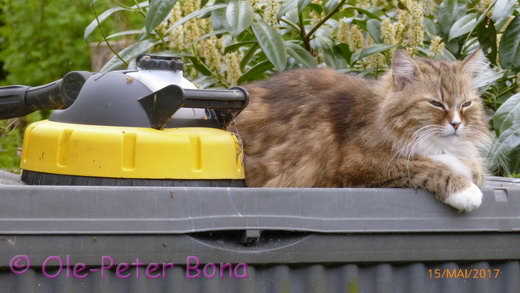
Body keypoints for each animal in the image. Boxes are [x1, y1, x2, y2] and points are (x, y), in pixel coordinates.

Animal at [230, 49, 494, 211]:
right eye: (435, 103)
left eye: (465, 104)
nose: (456, 123)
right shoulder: (361, 168)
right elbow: (430, 167)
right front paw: (467, 192)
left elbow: (471, 167)